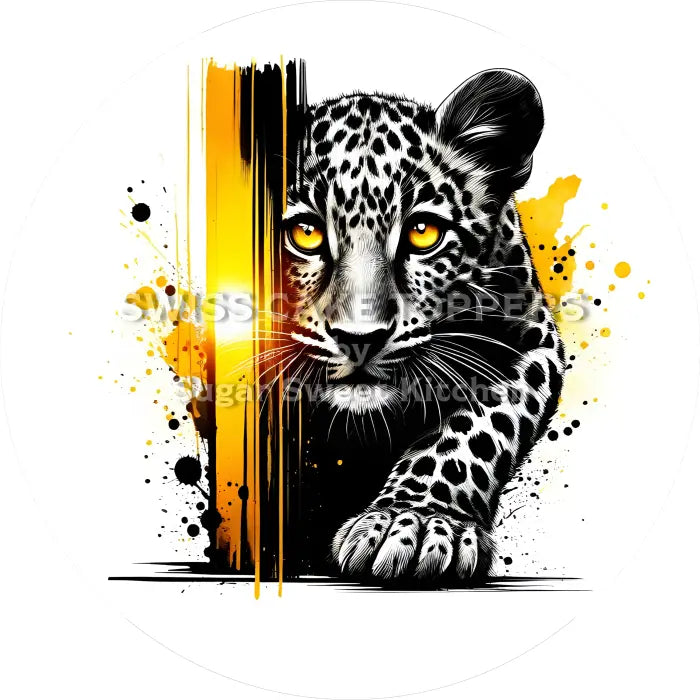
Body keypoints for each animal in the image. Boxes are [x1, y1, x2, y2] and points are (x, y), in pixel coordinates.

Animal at [280, 69, 565, 584]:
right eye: (305, 233)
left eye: (423, 233)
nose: (360, 339)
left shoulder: (530, 340)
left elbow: (471, 429)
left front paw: (415, 524)